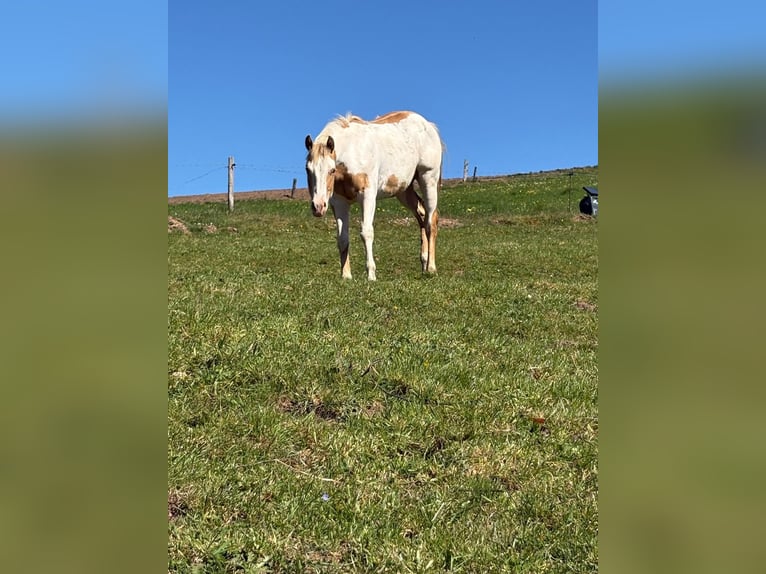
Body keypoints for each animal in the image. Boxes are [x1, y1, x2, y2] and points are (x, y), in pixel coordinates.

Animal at [304, 111, 443, 281]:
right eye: (307, 169)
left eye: (331, 170)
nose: (318, 207)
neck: (352, 150)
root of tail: (428, 125)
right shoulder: (339, 202)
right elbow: (342, 238)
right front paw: (346, 276)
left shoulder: (367, 196)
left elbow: (366, 232)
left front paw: (371, 275)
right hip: (404, 190)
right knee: (421, 215)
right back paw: (423, 264)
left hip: (428, 179)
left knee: (430, 222)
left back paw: (431, 267)